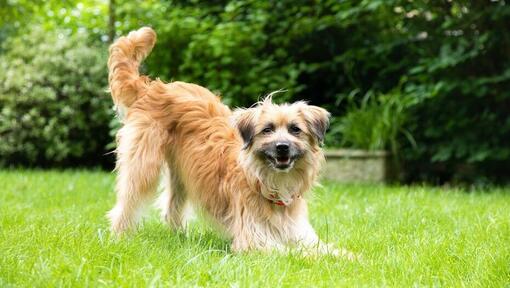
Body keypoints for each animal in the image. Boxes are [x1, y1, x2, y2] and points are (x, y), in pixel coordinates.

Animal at [104, 27, 350, 256]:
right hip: (143, 165)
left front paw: (350, 258)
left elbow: (330, 250)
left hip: (182, 174)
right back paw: (119, 238)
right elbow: (297, 253)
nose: (282, 147)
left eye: (295, 129)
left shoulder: (300, 233)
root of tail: (154, 87)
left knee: (171, 209)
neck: (264, 180)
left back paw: (181, 239)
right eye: (267, 129)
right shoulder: (252, 239)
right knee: (126, 203)